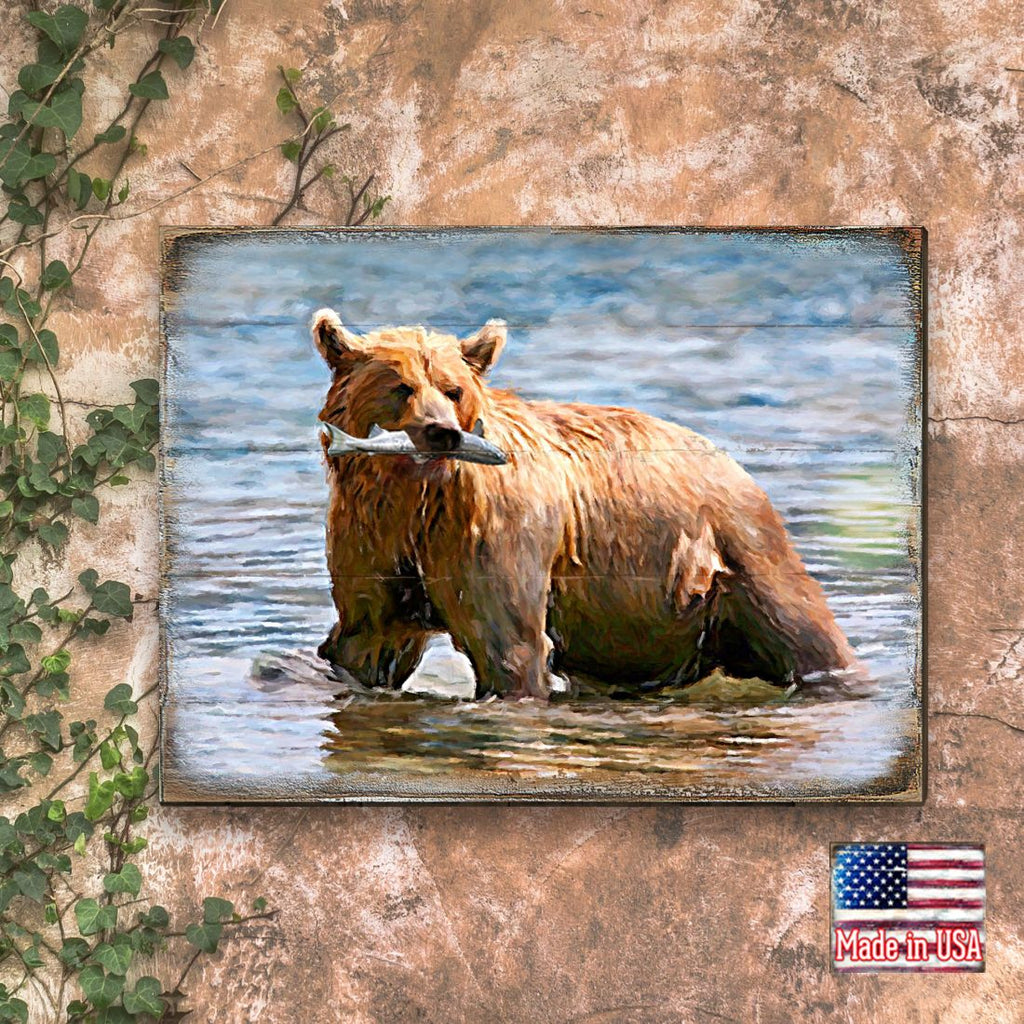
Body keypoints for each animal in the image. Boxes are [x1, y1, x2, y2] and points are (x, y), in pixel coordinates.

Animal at [312, 307, 857, 700]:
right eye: (401, 387)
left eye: (453, 389)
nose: (441, 432)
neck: (412, 493)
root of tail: (730, 461)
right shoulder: (373, 533)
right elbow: (367, 636)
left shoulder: (490, 531)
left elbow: (507, 643)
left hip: (735, 548)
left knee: (803, 631)